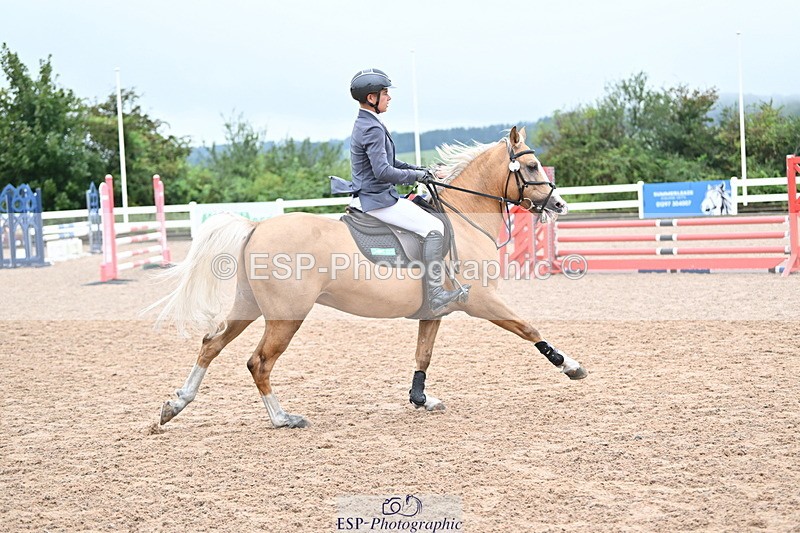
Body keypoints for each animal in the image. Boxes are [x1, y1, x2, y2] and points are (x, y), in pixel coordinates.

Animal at [152, 126, 587, 429]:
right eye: (530, 167)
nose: (559, 204)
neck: (463, 218)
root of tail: (256, 227)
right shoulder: (479, 299)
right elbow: (529, 328)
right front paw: (570, 366)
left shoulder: (435, 309)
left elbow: (423, 354)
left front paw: (421, 399)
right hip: (286, 316)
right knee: (258, 362)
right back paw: (282, 418)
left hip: (249, 306)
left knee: (211, 344)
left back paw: (175, 405)